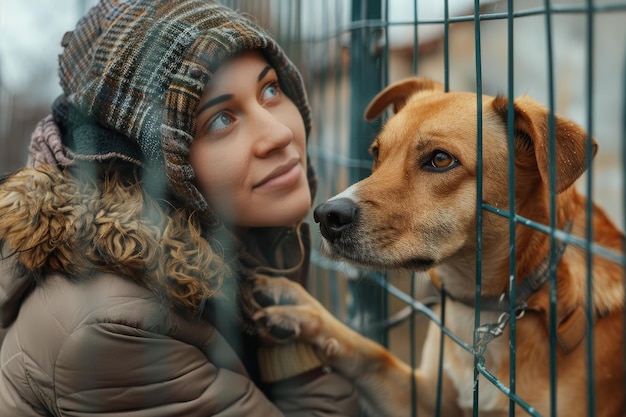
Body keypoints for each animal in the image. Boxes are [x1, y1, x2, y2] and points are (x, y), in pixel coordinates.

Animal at [251, 78, 620, 416]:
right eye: (376, 154)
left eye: (441, 159)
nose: (326, 216)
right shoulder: (425, 399)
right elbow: (371, 353)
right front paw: (302, 309)